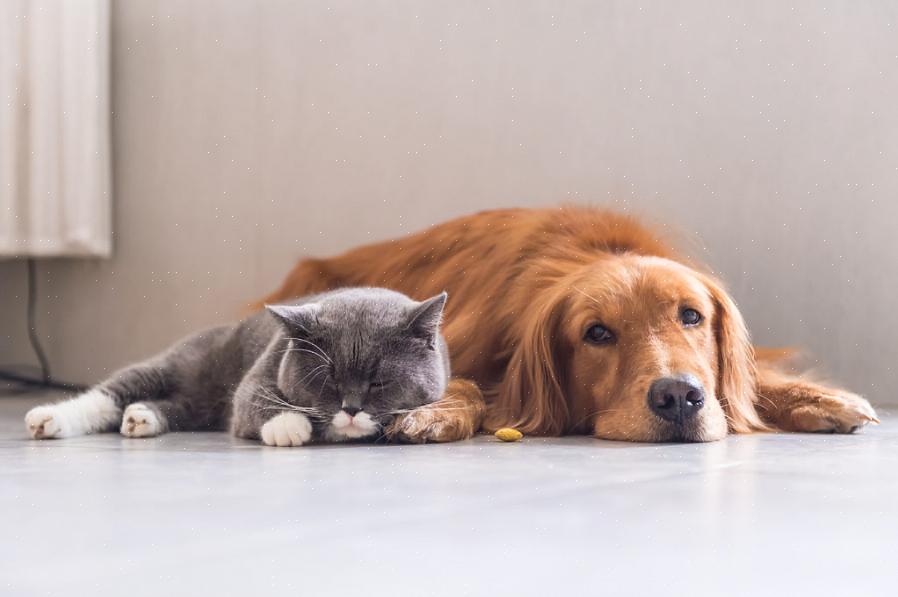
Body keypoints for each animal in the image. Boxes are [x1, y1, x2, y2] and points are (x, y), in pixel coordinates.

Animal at [25, 286, 452, 444]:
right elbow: (255, 400)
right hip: (175, 365)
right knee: (108, 395)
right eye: (328, 379)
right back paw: (48, 420)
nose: (350, 409)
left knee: (174, 408)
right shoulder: (262, 371)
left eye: (378, 381)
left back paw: (141, 418)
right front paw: (288, 426)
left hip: (195, 408)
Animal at [260, 205, 876, 442]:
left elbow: (750, 381)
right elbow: (463, 382)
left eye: (691, 316)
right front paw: (436, 412)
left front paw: (823, 400)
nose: (679, 398)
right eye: (596, 333)